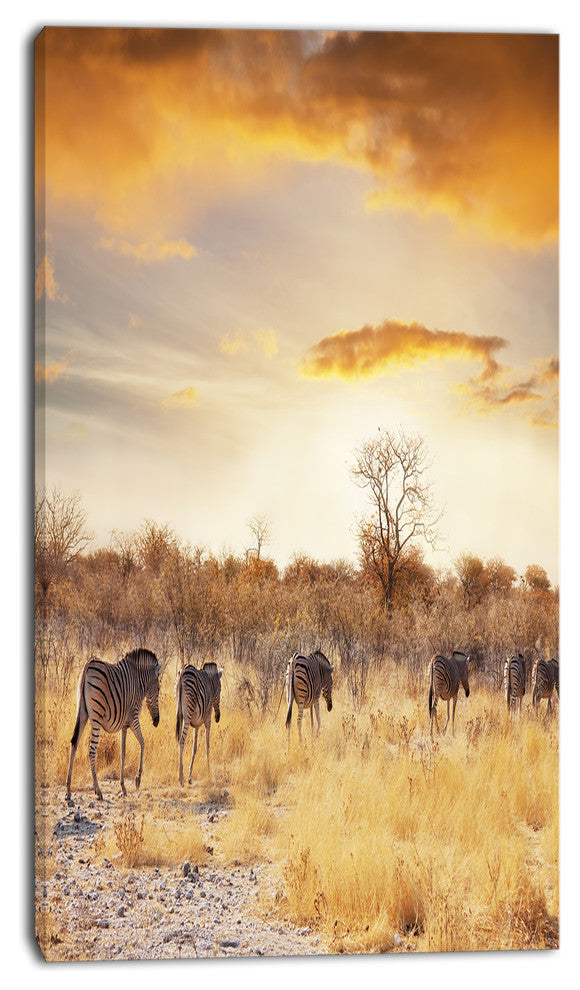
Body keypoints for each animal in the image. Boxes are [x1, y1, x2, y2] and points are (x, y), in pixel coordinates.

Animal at [66, 648, 161, 802]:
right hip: (96, 717)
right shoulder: (134, 718)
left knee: (74, 743)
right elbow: (142, 742)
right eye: (158, 688)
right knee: (92, 751)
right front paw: (138, 778)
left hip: (81, 713)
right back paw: (98, 791)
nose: (156, 721)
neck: (138, 682)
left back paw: (68, 791)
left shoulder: (124, 725)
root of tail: (88, 665)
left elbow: (123, 753)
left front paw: (123, 787)